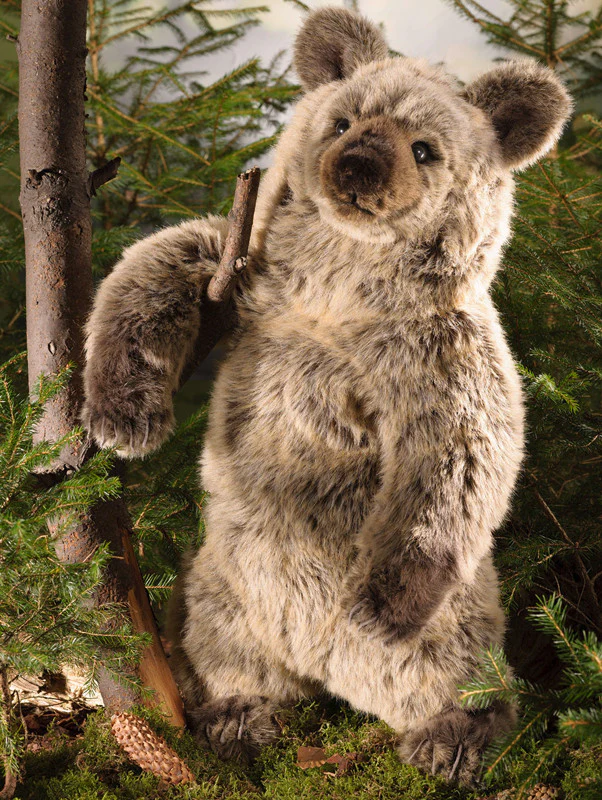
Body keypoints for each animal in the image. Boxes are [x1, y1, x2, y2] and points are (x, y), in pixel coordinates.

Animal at [81, 6, 572, 786]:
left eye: (424, 148)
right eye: (344, 120)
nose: (357, 165)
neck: (338, 294)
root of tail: (321, 669)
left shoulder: (441, 357)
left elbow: (459, 462)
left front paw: (381, 604)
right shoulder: (243, 277)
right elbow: (155, 268)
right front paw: (124, 418)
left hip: (452, 630)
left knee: (463, 675)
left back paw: (452, 739)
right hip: (221, 592)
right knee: (225, 655)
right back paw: (236, 715)